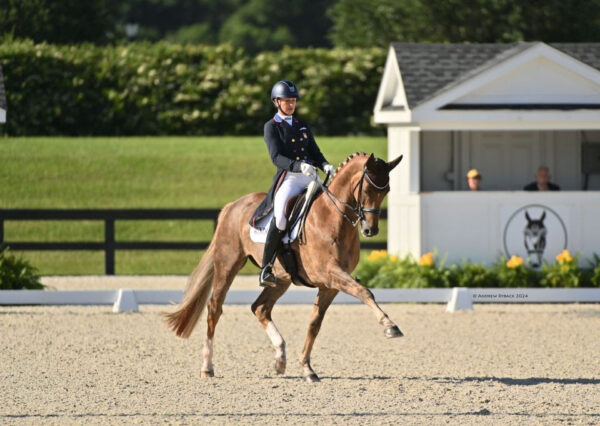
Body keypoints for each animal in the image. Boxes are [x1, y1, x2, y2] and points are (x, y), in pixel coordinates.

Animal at [165, 151, 404, 382]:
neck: (333, 218)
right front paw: (390, 326)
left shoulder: (330, 285)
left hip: (281, 278)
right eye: (367, 188)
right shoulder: (331, 274)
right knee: (215, 307)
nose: (370, 230)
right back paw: (207, 367)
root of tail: (232, 206)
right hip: (228, 264)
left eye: (387, 190)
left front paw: (307, 369)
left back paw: (280, 358)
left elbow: (314, 324)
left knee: (260, 308)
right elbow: (364, 292)